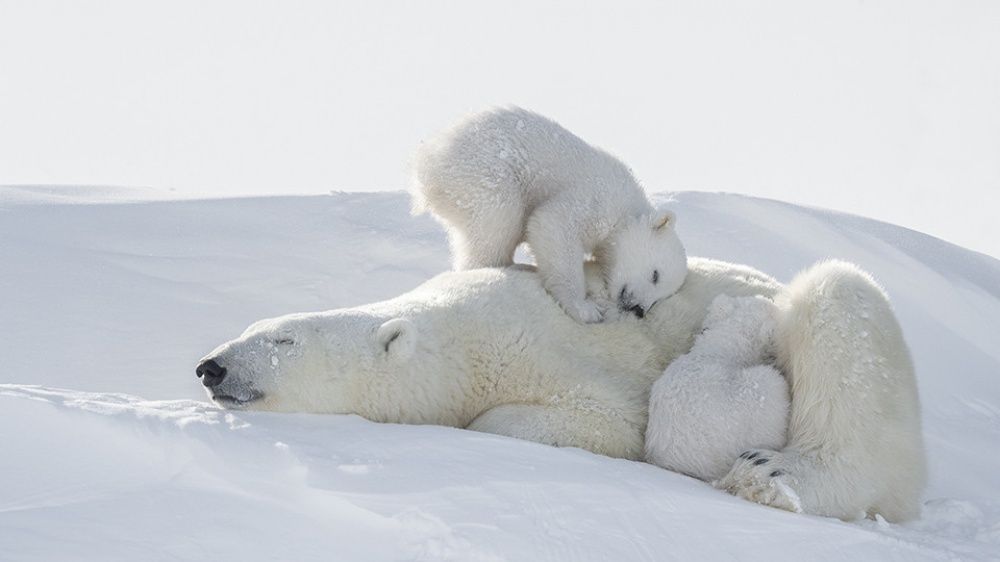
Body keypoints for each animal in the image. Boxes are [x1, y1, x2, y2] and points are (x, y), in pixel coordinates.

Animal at [408, 106, 688, 322]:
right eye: (656, 275)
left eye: (663, 296)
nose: (639, 309)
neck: (628, 208)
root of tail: (426, 163)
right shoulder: (597, 199)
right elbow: (552, 224)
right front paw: (585, 308)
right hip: (485, 173)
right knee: (499, 219)